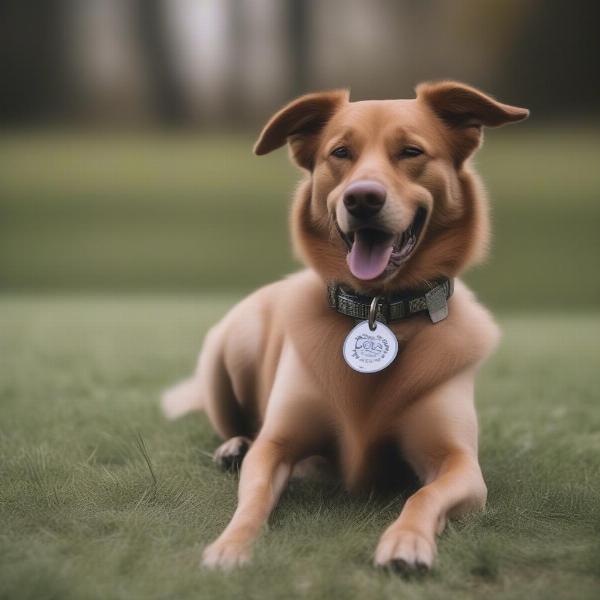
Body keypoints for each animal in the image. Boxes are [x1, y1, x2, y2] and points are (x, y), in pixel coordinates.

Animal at [162, 79, 528, 572]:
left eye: (411, 151)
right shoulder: (276, 444)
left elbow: (424, 495)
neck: (377, 307)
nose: (362, 198)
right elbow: (253, 497)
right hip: (231, 346)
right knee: (235, 425)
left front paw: (407, 540)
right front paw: (230, 543)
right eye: (340, 152)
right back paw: (233, 447)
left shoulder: (460, 463)